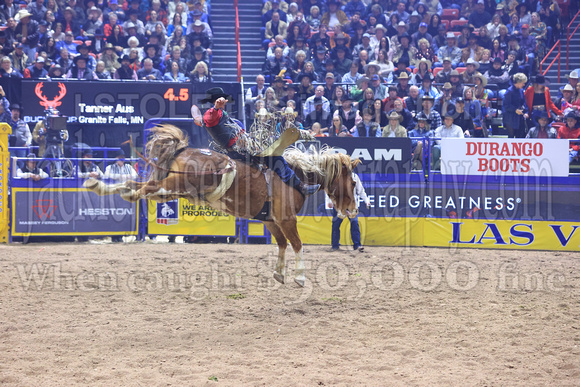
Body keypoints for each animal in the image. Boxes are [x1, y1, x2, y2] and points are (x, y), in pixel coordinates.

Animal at [84, 126, 360, 286]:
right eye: (355, 183)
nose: (353, 210)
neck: (297, 176)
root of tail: (183, 149)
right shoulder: (286, 219)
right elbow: (298, 243)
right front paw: (300, 277)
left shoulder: (270, 220)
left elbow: (282, 244)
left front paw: (279, 274)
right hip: (173, 185)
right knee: (141, 190)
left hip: (170, 188)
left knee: (135, 185)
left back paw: (97, 185)